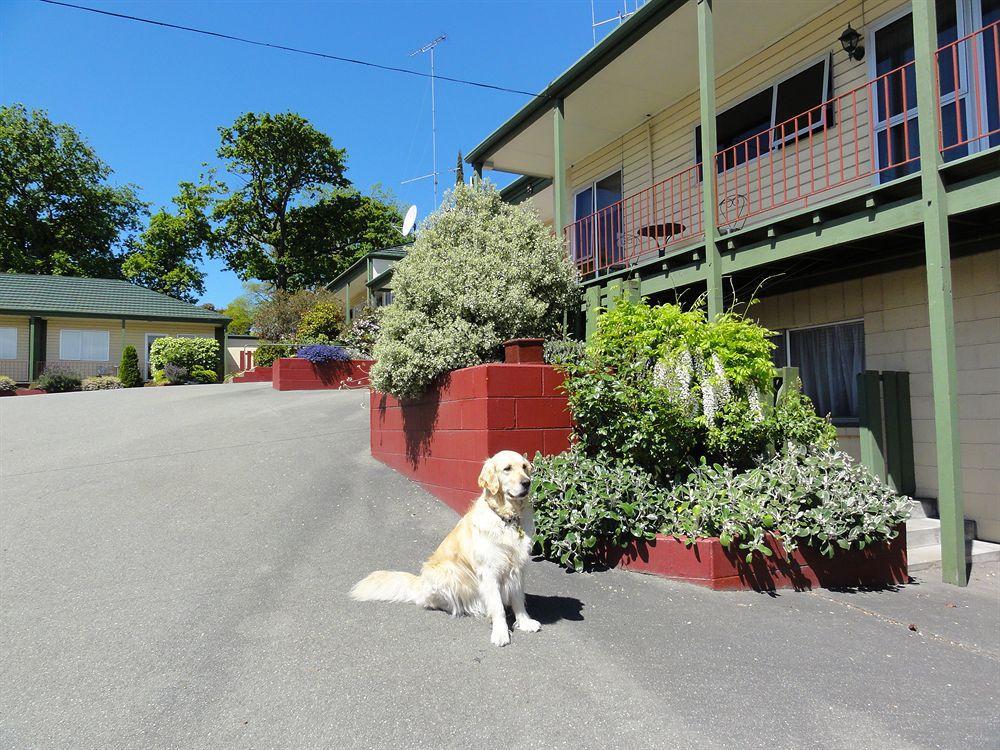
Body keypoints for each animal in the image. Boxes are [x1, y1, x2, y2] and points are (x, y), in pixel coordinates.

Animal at [352, 450, 540, 648]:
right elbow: (497, 606)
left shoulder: (518, 567)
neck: (508, 519)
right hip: (447, 573)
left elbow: (519, 599)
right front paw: (501, 632)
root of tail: (420, 582)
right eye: (507, 469)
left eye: (525, 467)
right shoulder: (489, 571)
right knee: (431, 601)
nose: (527, 482)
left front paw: (525, 622)